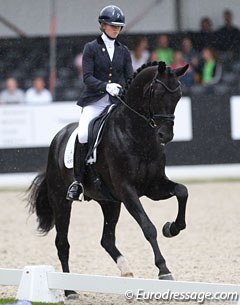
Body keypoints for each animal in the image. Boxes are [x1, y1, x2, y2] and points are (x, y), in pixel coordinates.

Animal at [28, 61, 189, 296]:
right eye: (157, 93)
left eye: (178, 95)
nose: (165, 136)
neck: (138, 134)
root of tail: (58, 137)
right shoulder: (127, 190)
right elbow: (148, 227)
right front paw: (163, 270)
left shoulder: (154, 187)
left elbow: (182, 191)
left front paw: (172, 228)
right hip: (61, 201)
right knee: (62, 243)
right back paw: (70, 291)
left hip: (110, 202)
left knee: (106, 240)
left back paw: (126, 269)